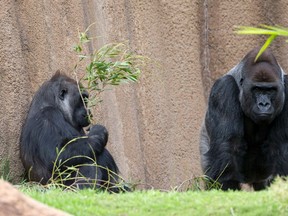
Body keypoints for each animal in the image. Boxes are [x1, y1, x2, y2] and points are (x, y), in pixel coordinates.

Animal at [199, 47, 288, 191]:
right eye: (256, 89)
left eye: (270, 90)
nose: (264, 104)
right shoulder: (224, 89)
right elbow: (228, 145)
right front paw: (228, 187)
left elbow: (280, 145)